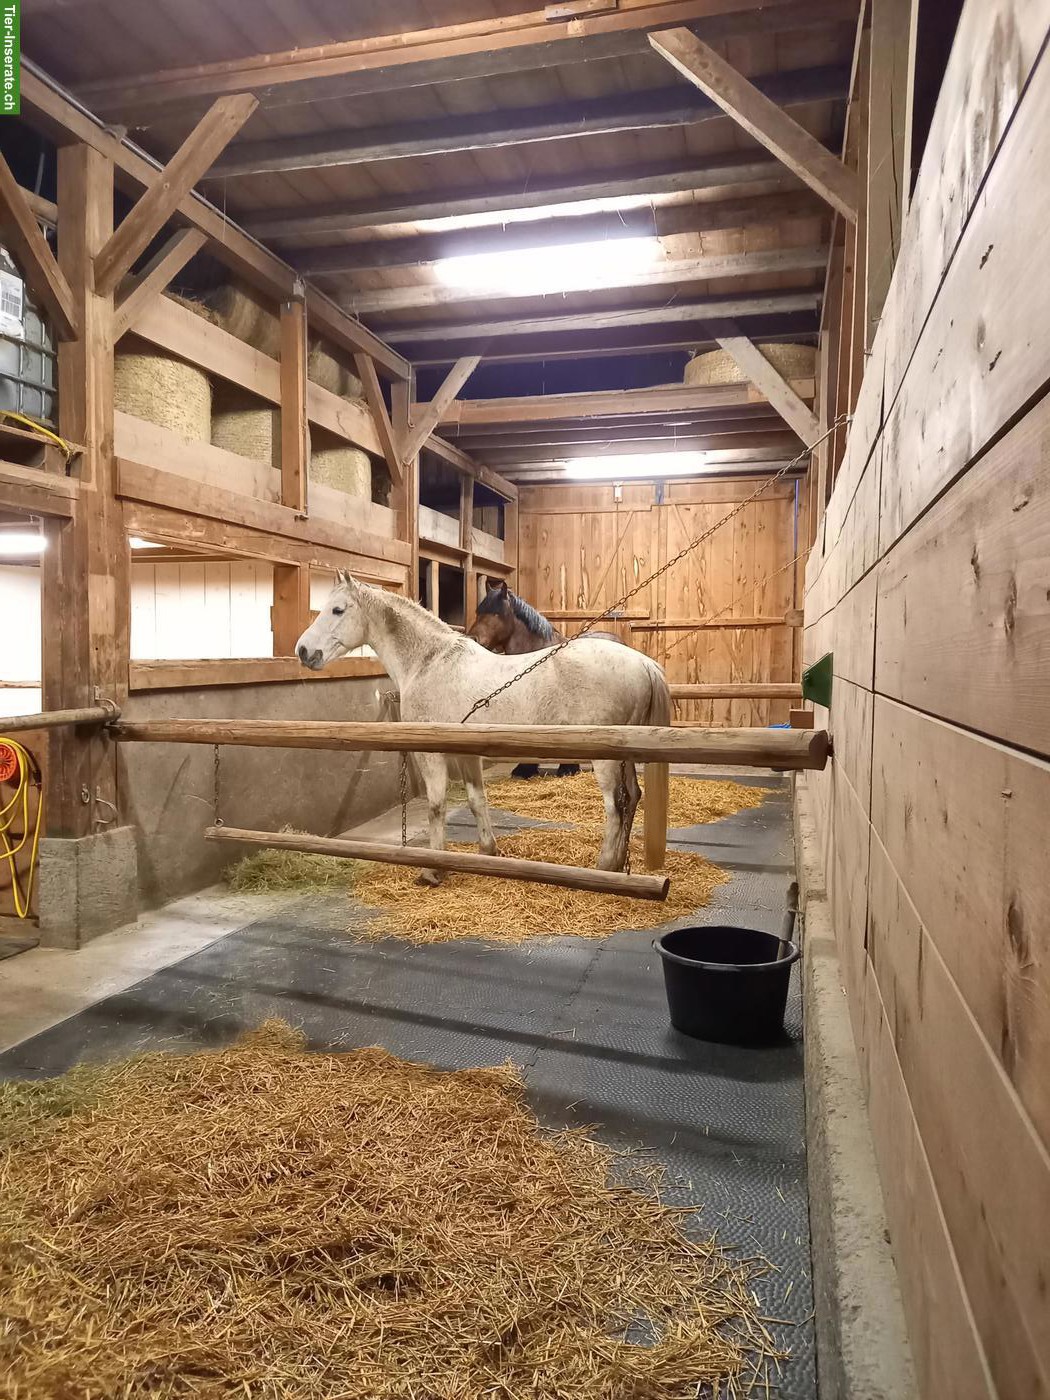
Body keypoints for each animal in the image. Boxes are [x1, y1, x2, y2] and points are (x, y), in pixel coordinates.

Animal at [296, 571, 671, 884]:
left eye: (338, 610)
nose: (303, 650)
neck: (430, 662)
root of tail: (643, 663)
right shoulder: (467, 755)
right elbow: (478, 801)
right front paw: (487, 852)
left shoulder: (432, 755)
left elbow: (436, 806)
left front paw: (432, 871)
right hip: (625, 755)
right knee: (632, 797)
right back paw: (618, 863)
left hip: (606, 758)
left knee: (616, 804)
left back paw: (604, 866)